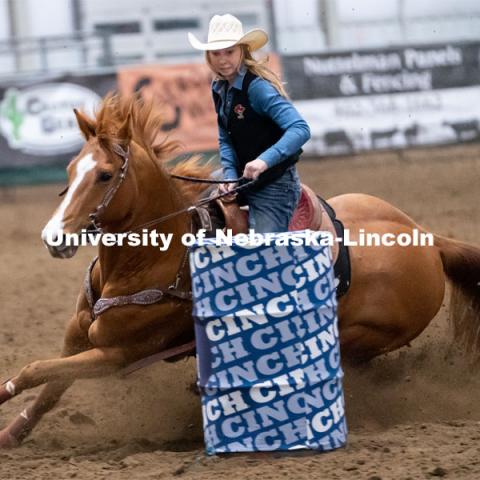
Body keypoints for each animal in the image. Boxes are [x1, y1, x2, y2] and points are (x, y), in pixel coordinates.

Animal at [0, 95, 480, 448]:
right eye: (69, 170)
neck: (155, 259)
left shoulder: (116, 356)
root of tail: (429, 240)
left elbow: (37, 371)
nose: (53, 237)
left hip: (363, 335)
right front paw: (11, 433)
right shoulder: (77, 337)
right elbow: (48, 387)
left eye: (103, 175)